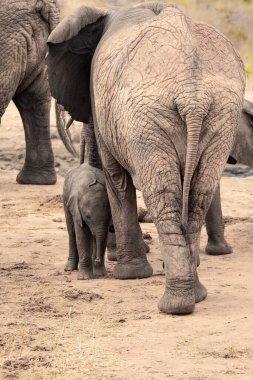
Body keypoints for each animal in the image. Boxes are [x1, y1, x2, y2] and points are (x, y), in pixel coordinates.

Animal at [47, 2, 245, 314]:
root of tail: (193, 97)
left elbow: (116, 178)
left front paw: (129, 275)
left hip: (148, 119)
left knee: (162, 197)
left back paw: (175, 305)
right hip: (222, 116)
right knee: (198, 196)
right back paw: (195, 295)